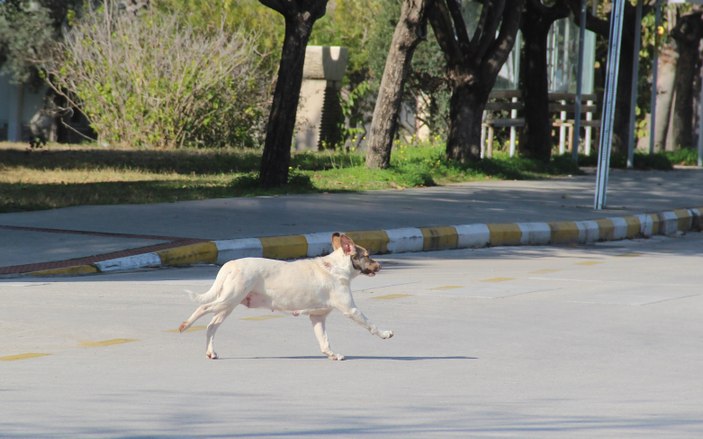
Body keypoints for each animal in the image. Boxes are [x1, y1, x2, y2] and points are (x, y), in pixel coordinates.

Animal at [179, 234, 394, 360]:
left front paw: (331, 354)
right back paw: (185, 326)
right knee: (202, 308)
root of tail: (230, 264)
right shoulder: (351, 310)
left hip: (228, 306)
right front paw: (385, 334)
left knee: (211, 326)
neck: (335, 268)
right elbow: (370, 325)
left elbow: (324, 341)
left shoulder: (317, 317)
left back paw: (210, 352)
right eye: (367, 256)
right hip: (228, 300)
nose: (380, 266)